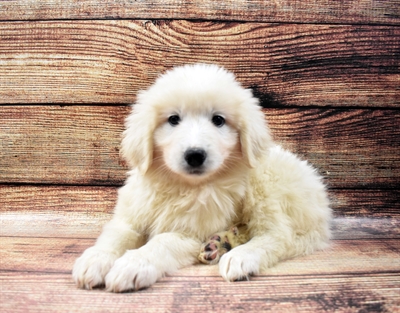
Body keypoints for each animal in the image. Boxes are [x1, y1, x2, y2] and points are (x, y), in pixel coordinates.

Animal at [72, 64, 332, 292]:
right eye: (173, 119)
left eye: (218, 120)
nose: (195, 155)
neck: (181, 186)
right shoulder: (131, 215)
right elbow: (116, 236)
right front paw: (93, 260)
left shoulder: (191, 233)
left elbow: (161, 242)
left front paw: (132, 265)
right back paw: (220, 243)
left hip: (266, 184)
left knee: (279, 235)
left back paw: (240, 256)